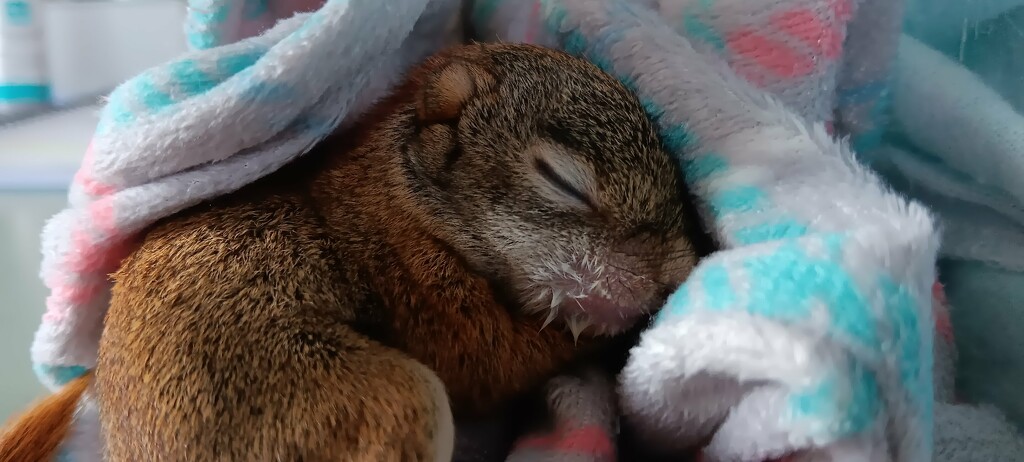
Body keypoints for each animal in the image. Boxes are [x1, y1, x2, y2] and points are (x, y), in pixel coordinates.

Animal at [2, 41, 704, 460]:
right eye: (561, 181)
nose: (676, 270)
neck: (402, 201)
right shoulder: (429, 301)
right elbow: (506, 358)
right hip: (384, 402)